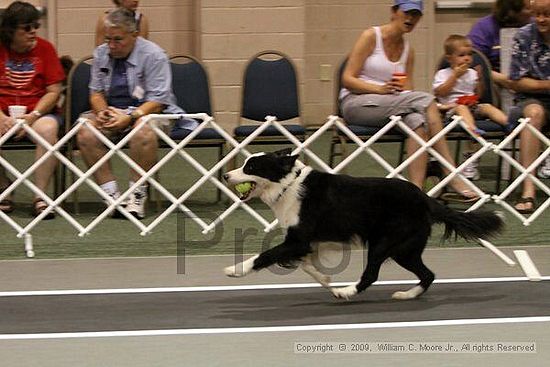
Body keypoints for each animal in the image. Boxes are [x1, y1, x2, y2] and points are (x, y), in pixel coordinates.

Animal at [223, 148, 504, 300]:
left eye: (251, 167)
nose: (225, 175)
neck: (287, 185)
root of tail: (425, 198)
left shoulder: (297, 240)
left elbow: (265, 255)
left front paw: (235, 269)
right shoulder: (312, 242)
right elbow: (307, 265)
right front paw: (326, 279)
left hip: (386, 243)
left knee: (372, 274)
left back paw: (347, 292)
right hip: (405, 250)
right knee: (428, 274)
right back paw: (406, 294)